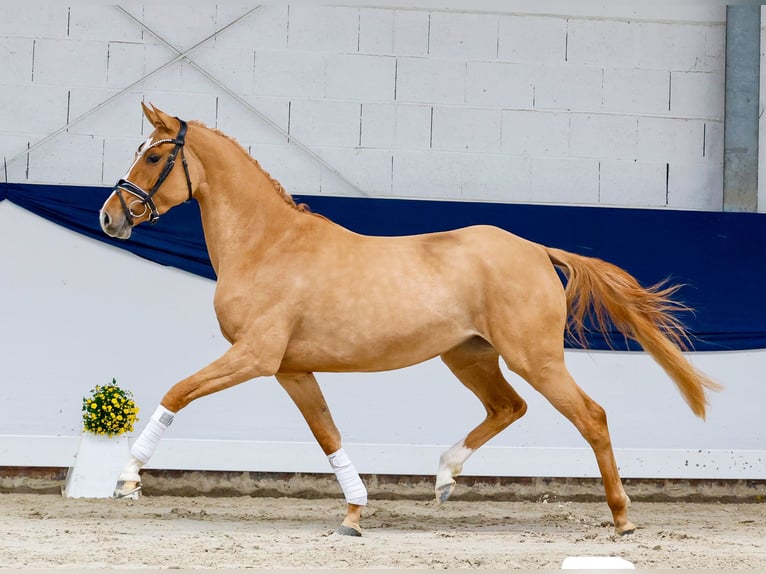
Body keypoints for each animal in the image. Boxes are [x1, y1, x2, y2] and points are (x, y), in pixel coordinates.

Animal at [99, 103, 720, 537]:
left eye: (153, 156)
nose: (110, 218)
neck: (267, 244)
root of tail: (537, 250)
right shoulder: (290, 368)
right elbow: (327, 433)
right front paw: (353, 515)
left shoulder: (253, 356)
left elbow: (177, 392)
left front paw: (127, 479)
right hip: (468, 356)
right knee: (508, 407)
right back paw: (444, 478)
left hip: (535, 357)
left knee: (591, 417)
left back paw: (622, 518)